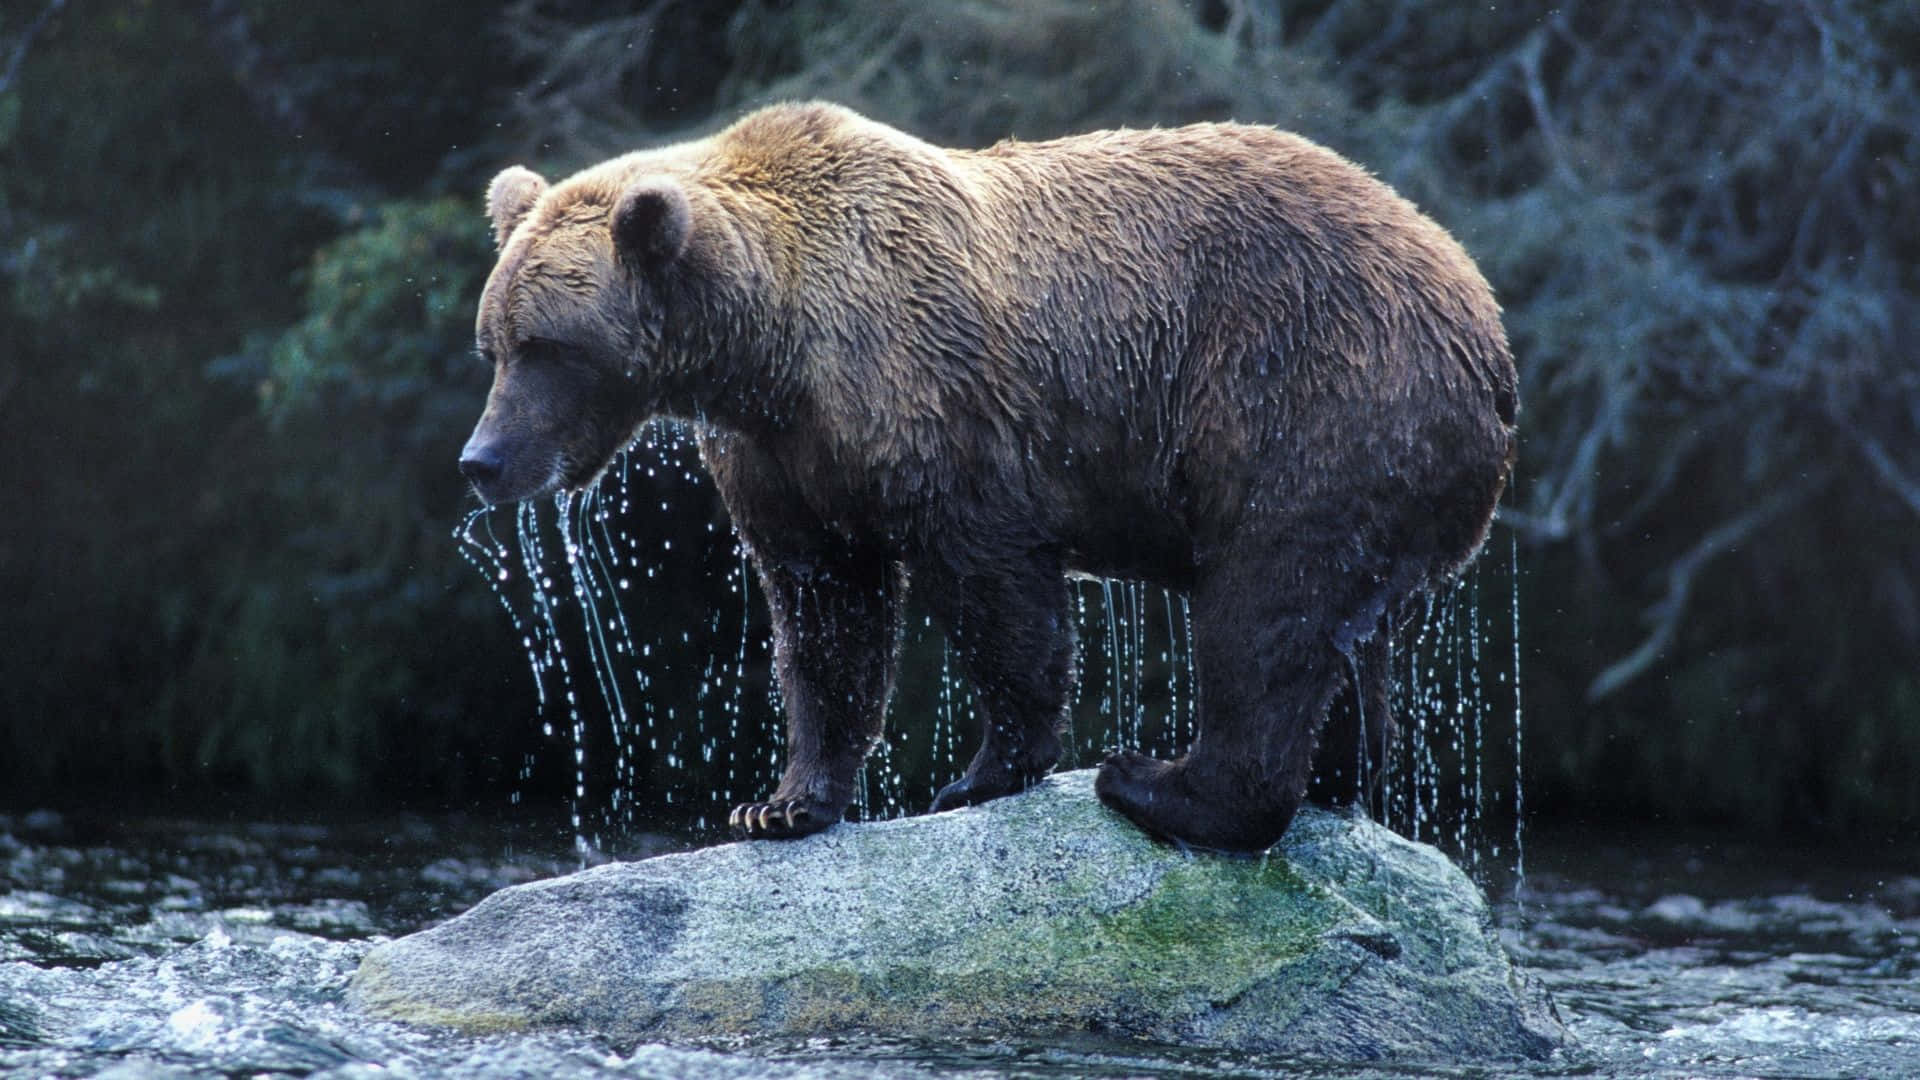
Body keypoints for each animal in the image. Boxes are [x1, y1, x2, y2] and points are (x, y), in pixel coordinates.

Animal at [460, 105, 1512, 853]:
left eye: (550, 347)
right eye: (493, 343)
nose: (482, 461)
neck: (776, 348)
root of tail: (1480, 308)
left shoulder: (940, 405)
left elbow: (997, 595)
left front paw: (979, 773)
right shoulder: (784, 459)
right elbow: (824, 618)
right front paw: (783, 802)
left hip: (1313, 395)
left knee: (1264, 607)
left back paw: (1154, 782)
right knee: (1341, 635)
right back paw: (1335, 781)